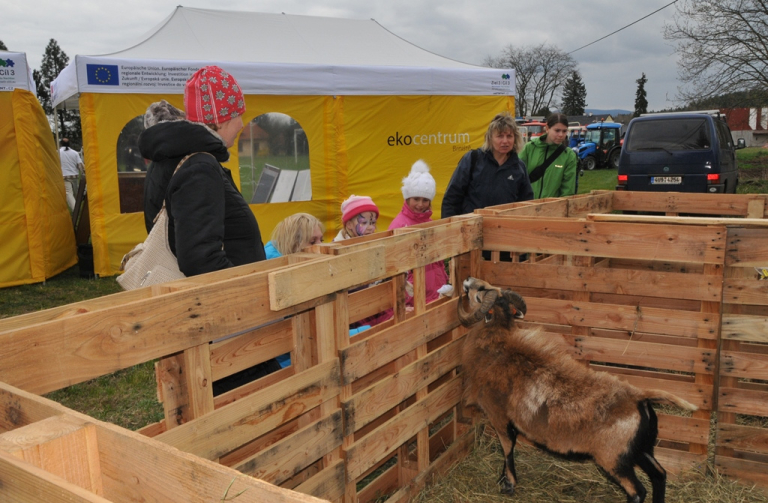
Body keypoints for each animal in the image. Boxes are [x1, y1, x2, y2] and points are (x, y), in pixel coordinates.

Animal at [460, 278, 700, 502]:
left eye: (480, 292)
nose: (467, 281)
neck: (498, 342)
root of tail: (638, 396)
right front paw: (504, 480)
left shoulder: (498, 414)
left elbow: (508, 447)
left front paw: (508, 484)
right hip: (641, 448)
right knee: (659, 474)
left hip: (613, 457)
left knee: (638, 491)